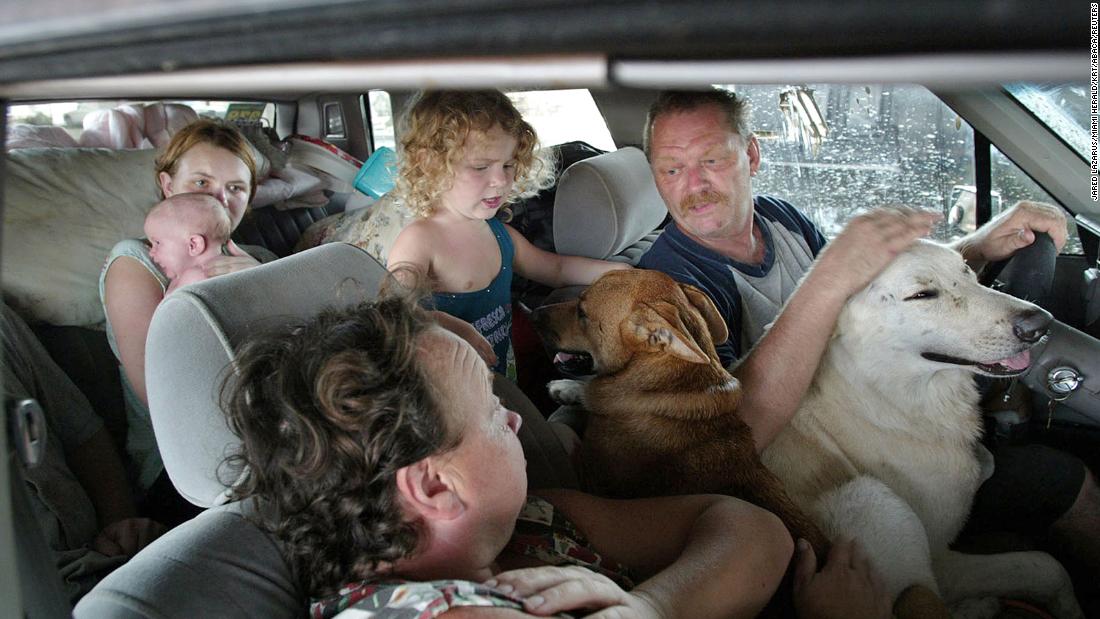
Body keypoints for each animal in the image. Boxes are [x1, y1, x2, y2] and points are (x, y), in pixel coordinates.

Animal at [765, 239, 1082, 615]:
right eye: (922, 295)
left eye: (966, 271)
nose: (1040, 324)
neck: (885, 397)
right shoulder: (943, 560)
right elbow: (1046, 565)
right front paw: (1070, 606)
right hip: (873, 500)